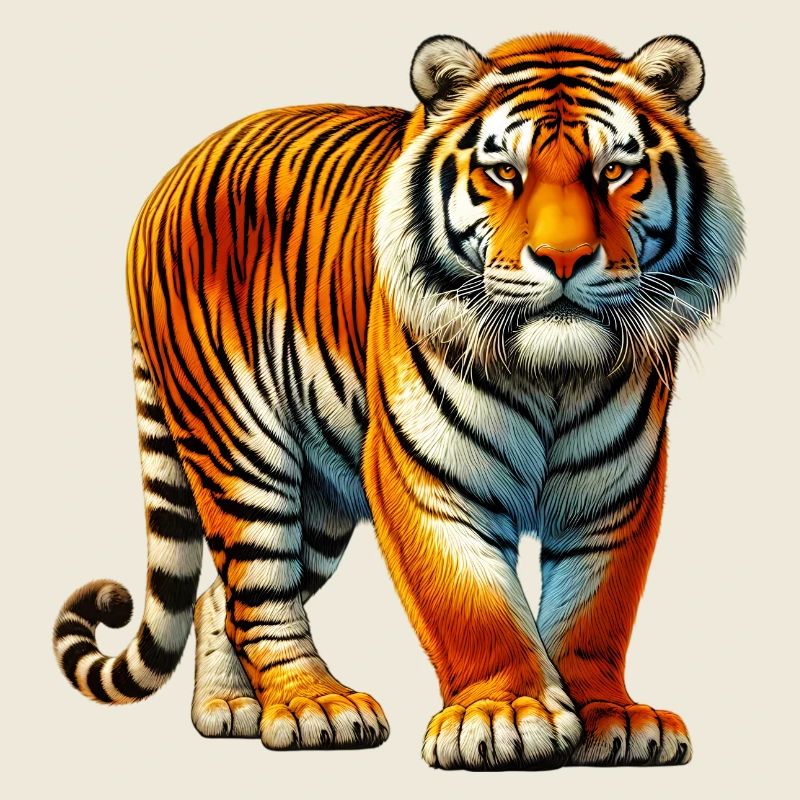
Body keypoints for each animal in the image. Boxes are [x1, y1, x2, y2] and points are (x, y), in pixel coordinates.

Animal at [53, 31, 743, 770]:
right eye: (504, 172)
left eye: (614, 170)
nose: (563, 258)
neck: (552, 373)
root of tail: (171, 175)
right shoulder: (428, 479)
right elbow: (470, 605)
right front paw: (504, 715)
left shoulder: (616, 493)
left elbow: (596, 610)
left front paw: (611, 717)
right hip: (237, 448)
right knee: (259, 592)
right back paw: (313, 705)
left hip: (322, 499)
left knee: (220, 597)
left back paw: (229, 709)